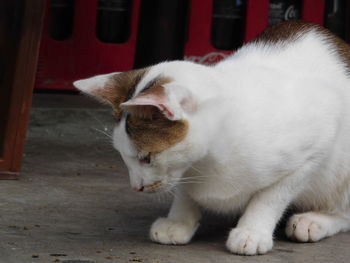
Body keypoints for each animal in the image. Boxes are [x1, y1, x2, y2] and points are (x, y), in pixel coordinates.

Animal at [73, 21, 350, 256]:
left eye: (147, 158)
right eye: (123, 156)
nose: (135, 187)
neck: (209, 158)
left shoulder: (320, 138)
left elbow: (272, 195)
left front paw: (252, 230)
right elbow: (184, 190)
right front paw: (179, 221)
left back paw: (314, 221)